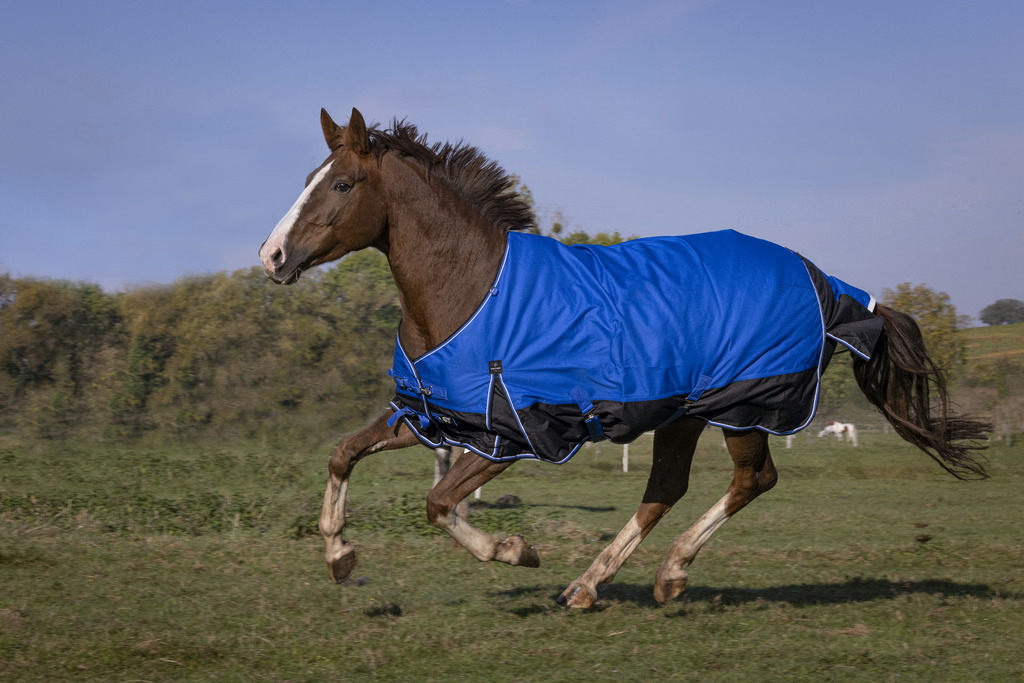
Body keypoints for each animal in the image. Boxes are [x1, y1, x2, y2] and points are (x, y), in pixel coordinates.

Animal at [258, 107, 991, 610]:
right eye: (309, 177)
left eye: (343, 184)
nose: (271, 256)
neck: (471, 289)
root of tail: (826, 282)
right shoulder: (434, 415)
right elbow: (344, 455)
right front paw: (341, 557)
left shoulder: (516, 433)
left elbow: (439, 503)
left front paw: (515, 550)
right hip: (683, 413)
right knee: (665, 488)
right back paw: (591, 585)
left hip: (744, 407)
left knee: (752, 480)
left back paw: (663, 574)